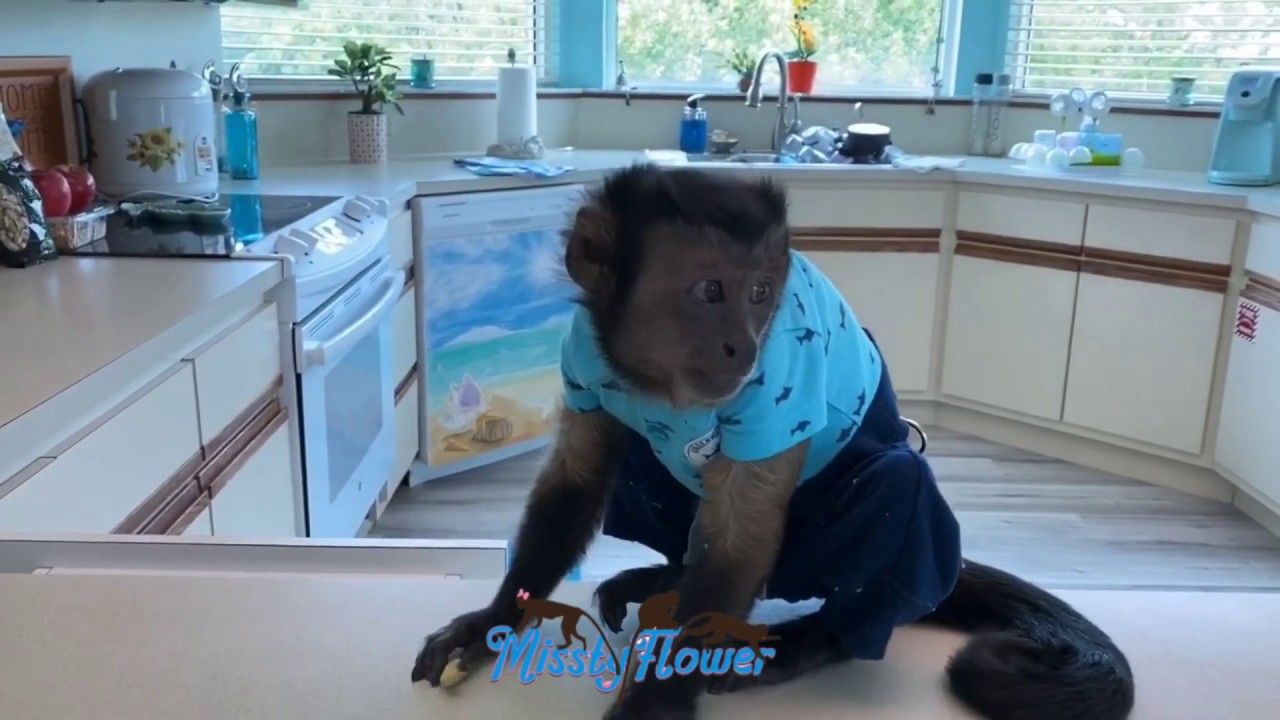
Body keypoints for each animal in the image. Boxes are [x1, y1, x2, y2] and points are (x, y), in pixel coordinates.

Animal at [412, 164, 1135, 720]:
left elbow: (742, 530)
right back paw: (665, 576)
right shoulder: (583, 353)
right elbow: (576, 480)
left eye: (761, 293)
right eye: (711, 290)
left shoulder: (784, 369)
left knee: (897, 484)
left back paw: (810, 641)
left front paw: (656, 700)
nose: (743, 342)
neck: (659, 381)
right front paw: (491, 621)